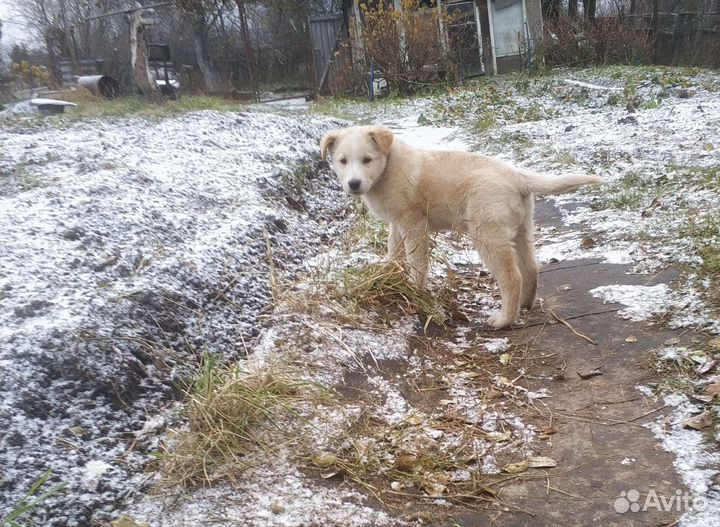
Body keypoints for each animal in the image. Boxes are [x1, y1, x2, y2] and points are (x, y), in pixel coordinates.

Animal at [320, 125, 600, 328]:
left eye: (367, 160)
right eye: (342, 161)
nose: (353, 184)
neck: (387, 167)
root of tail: (518, 176)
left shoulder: (413, 224)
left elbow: (416, 261)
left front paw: (413, 289)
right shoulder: (397, 224)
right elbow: (394, 251)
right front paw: (388, 274)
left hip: (487, 234)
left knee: (511, 277)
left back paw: (504, 319)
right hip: (521, 229)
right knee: (531, 267)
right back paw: (525, 304)